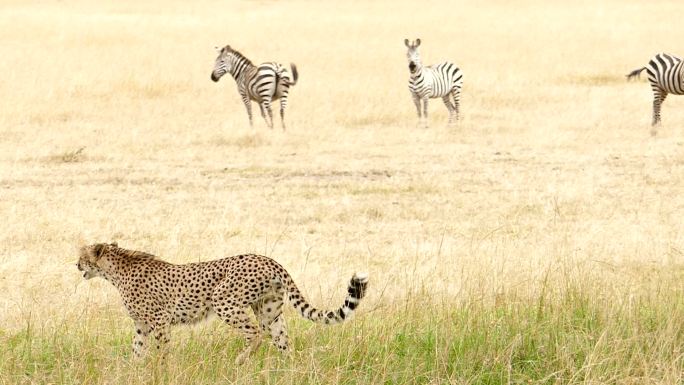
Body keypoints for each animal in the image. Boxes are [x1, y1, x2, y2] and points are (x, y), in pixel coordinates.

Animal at [76, 242, 368, 362]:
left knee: (255, 333)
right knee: (282, 340)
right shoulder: (141, 325)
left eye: (82, 256)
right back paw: (289, 368)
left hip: (223, 300)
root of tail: (268, 259)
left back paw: (240, 360)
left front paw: (160, 368)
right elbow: (136, 349)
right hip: (269, 311)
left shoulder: (160, 321)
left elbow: (161, 349)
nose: (76, 264)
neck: (115, 270)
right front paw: (135, 368)